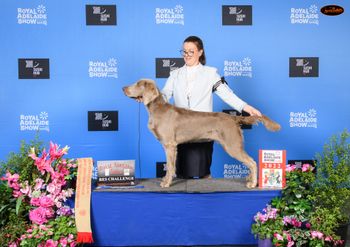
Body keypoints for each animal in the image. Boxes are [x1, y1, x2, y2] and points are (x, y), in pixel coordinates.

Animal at [123, 78, 282, 187]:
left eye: (138, 84)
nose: (123, 88)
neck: (156, 109)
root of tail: (232, 117)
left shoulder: (169, 145)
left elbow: (170, 166)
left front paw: (166, 183)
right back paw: (250, 179)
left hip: (232, 145)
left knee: (252, 162)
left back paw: (252, 183)